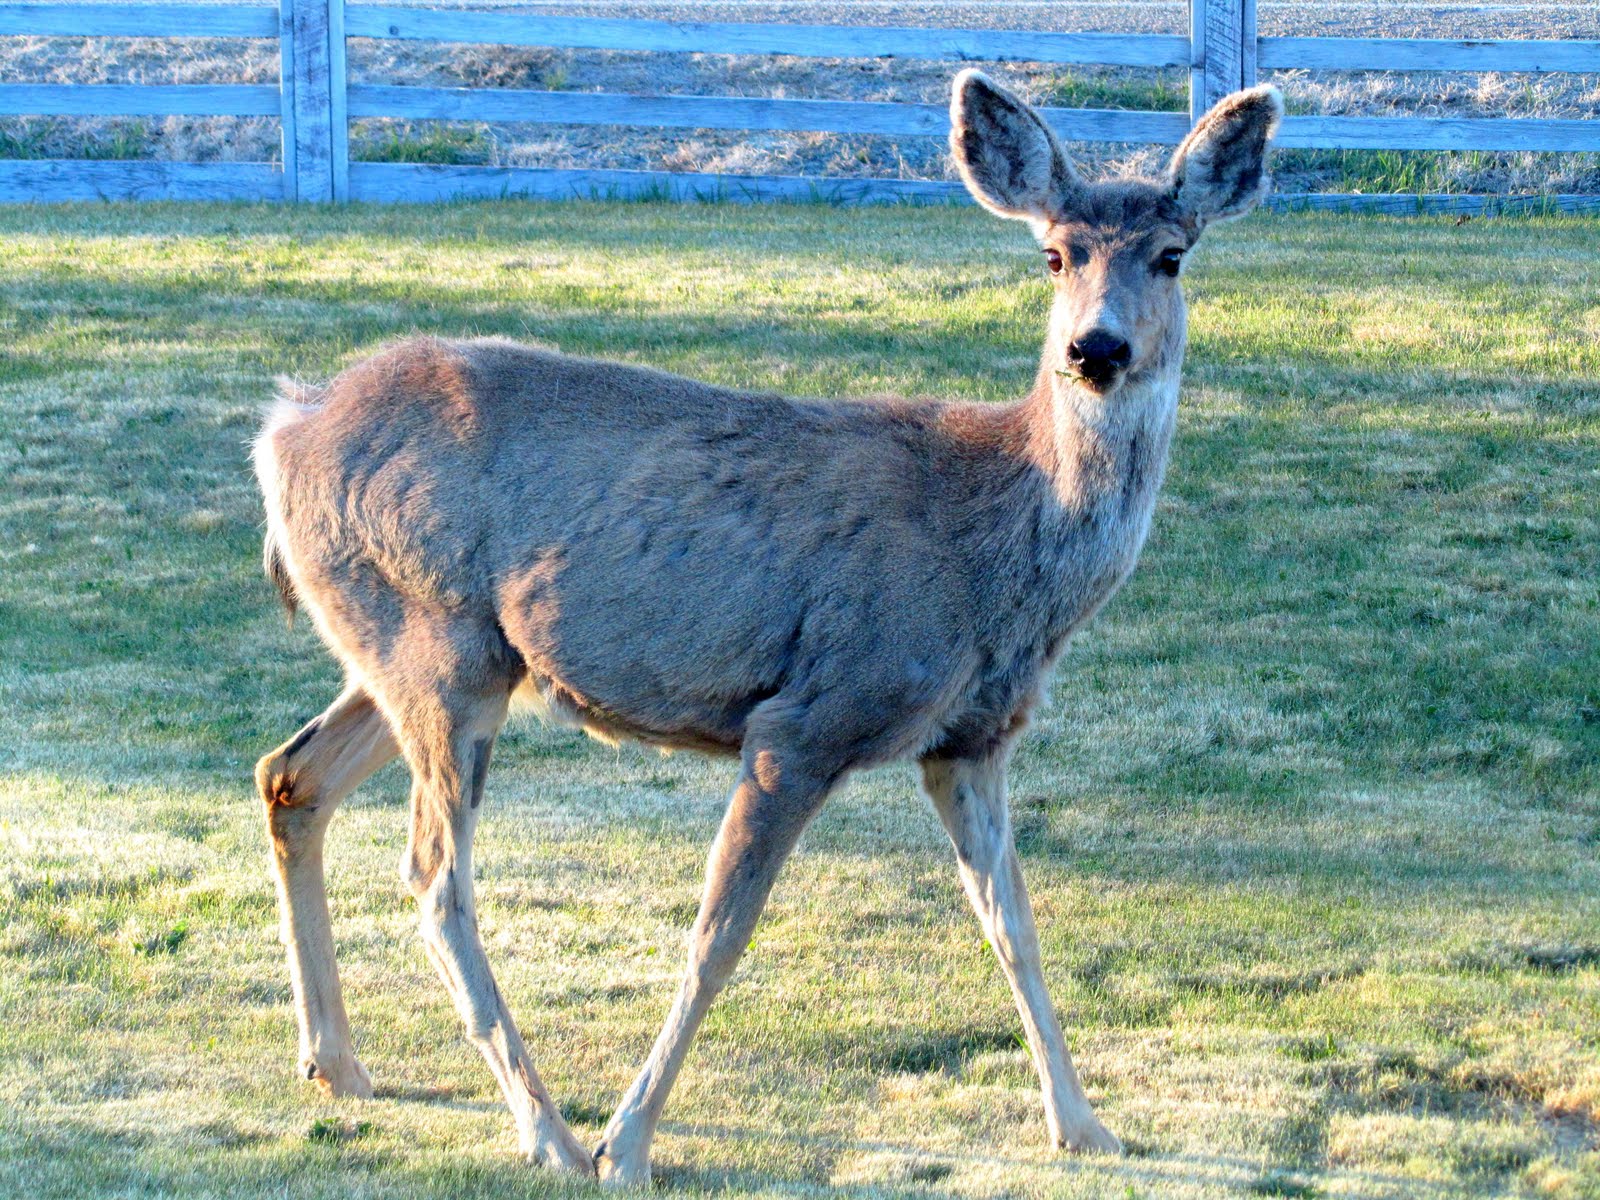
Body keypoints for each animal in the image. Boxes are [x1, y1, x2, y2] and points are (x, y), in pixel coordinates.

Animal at [251, 69, 1282, 1183]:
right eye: (1055, 254)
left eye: (1171, 254)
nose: (1095, 349)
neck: (996, 547)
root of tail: (283, 427)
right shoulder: (808, 716)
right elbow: (718, 936)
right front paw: (628, 1144)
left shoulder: (971, 738)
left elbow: (1014, 924)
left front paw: (1085, 1126)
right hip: (438, 643)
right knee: (435, 875)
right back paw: (549, 1131)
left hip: (416, 648)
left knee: (290, 777)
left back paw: (337, 1063)